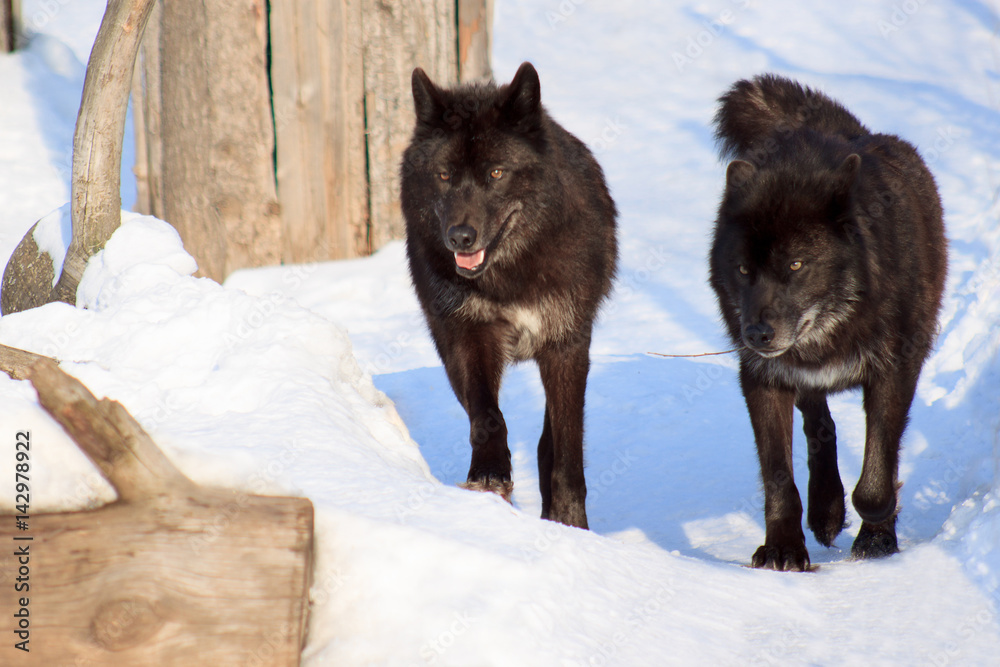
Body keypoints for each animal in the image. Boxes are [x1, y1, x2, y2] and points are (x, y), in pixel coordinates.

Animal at [400, 62, 618, 529]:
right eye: (444, 175)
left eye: (496, 174)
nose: (460, 237)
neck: (512, 274)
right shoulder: (469, 336)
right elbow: (487, 415)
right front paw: (489, 473)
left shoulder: (567, 345)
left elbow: (568, 453)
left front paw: (571, 522)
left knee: (551, 440)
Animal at [709, 74, 947, 570]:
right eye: (742, 269)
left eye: (796, 265)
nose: (756, 334)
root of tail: (853, 132)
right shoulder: (762, 379)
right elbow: (778, 478)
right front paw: (783, 547)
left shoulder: (895, 370)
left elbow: (877, 477)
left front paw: (876, 537)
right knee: (820, 425)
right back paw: (826, 511)